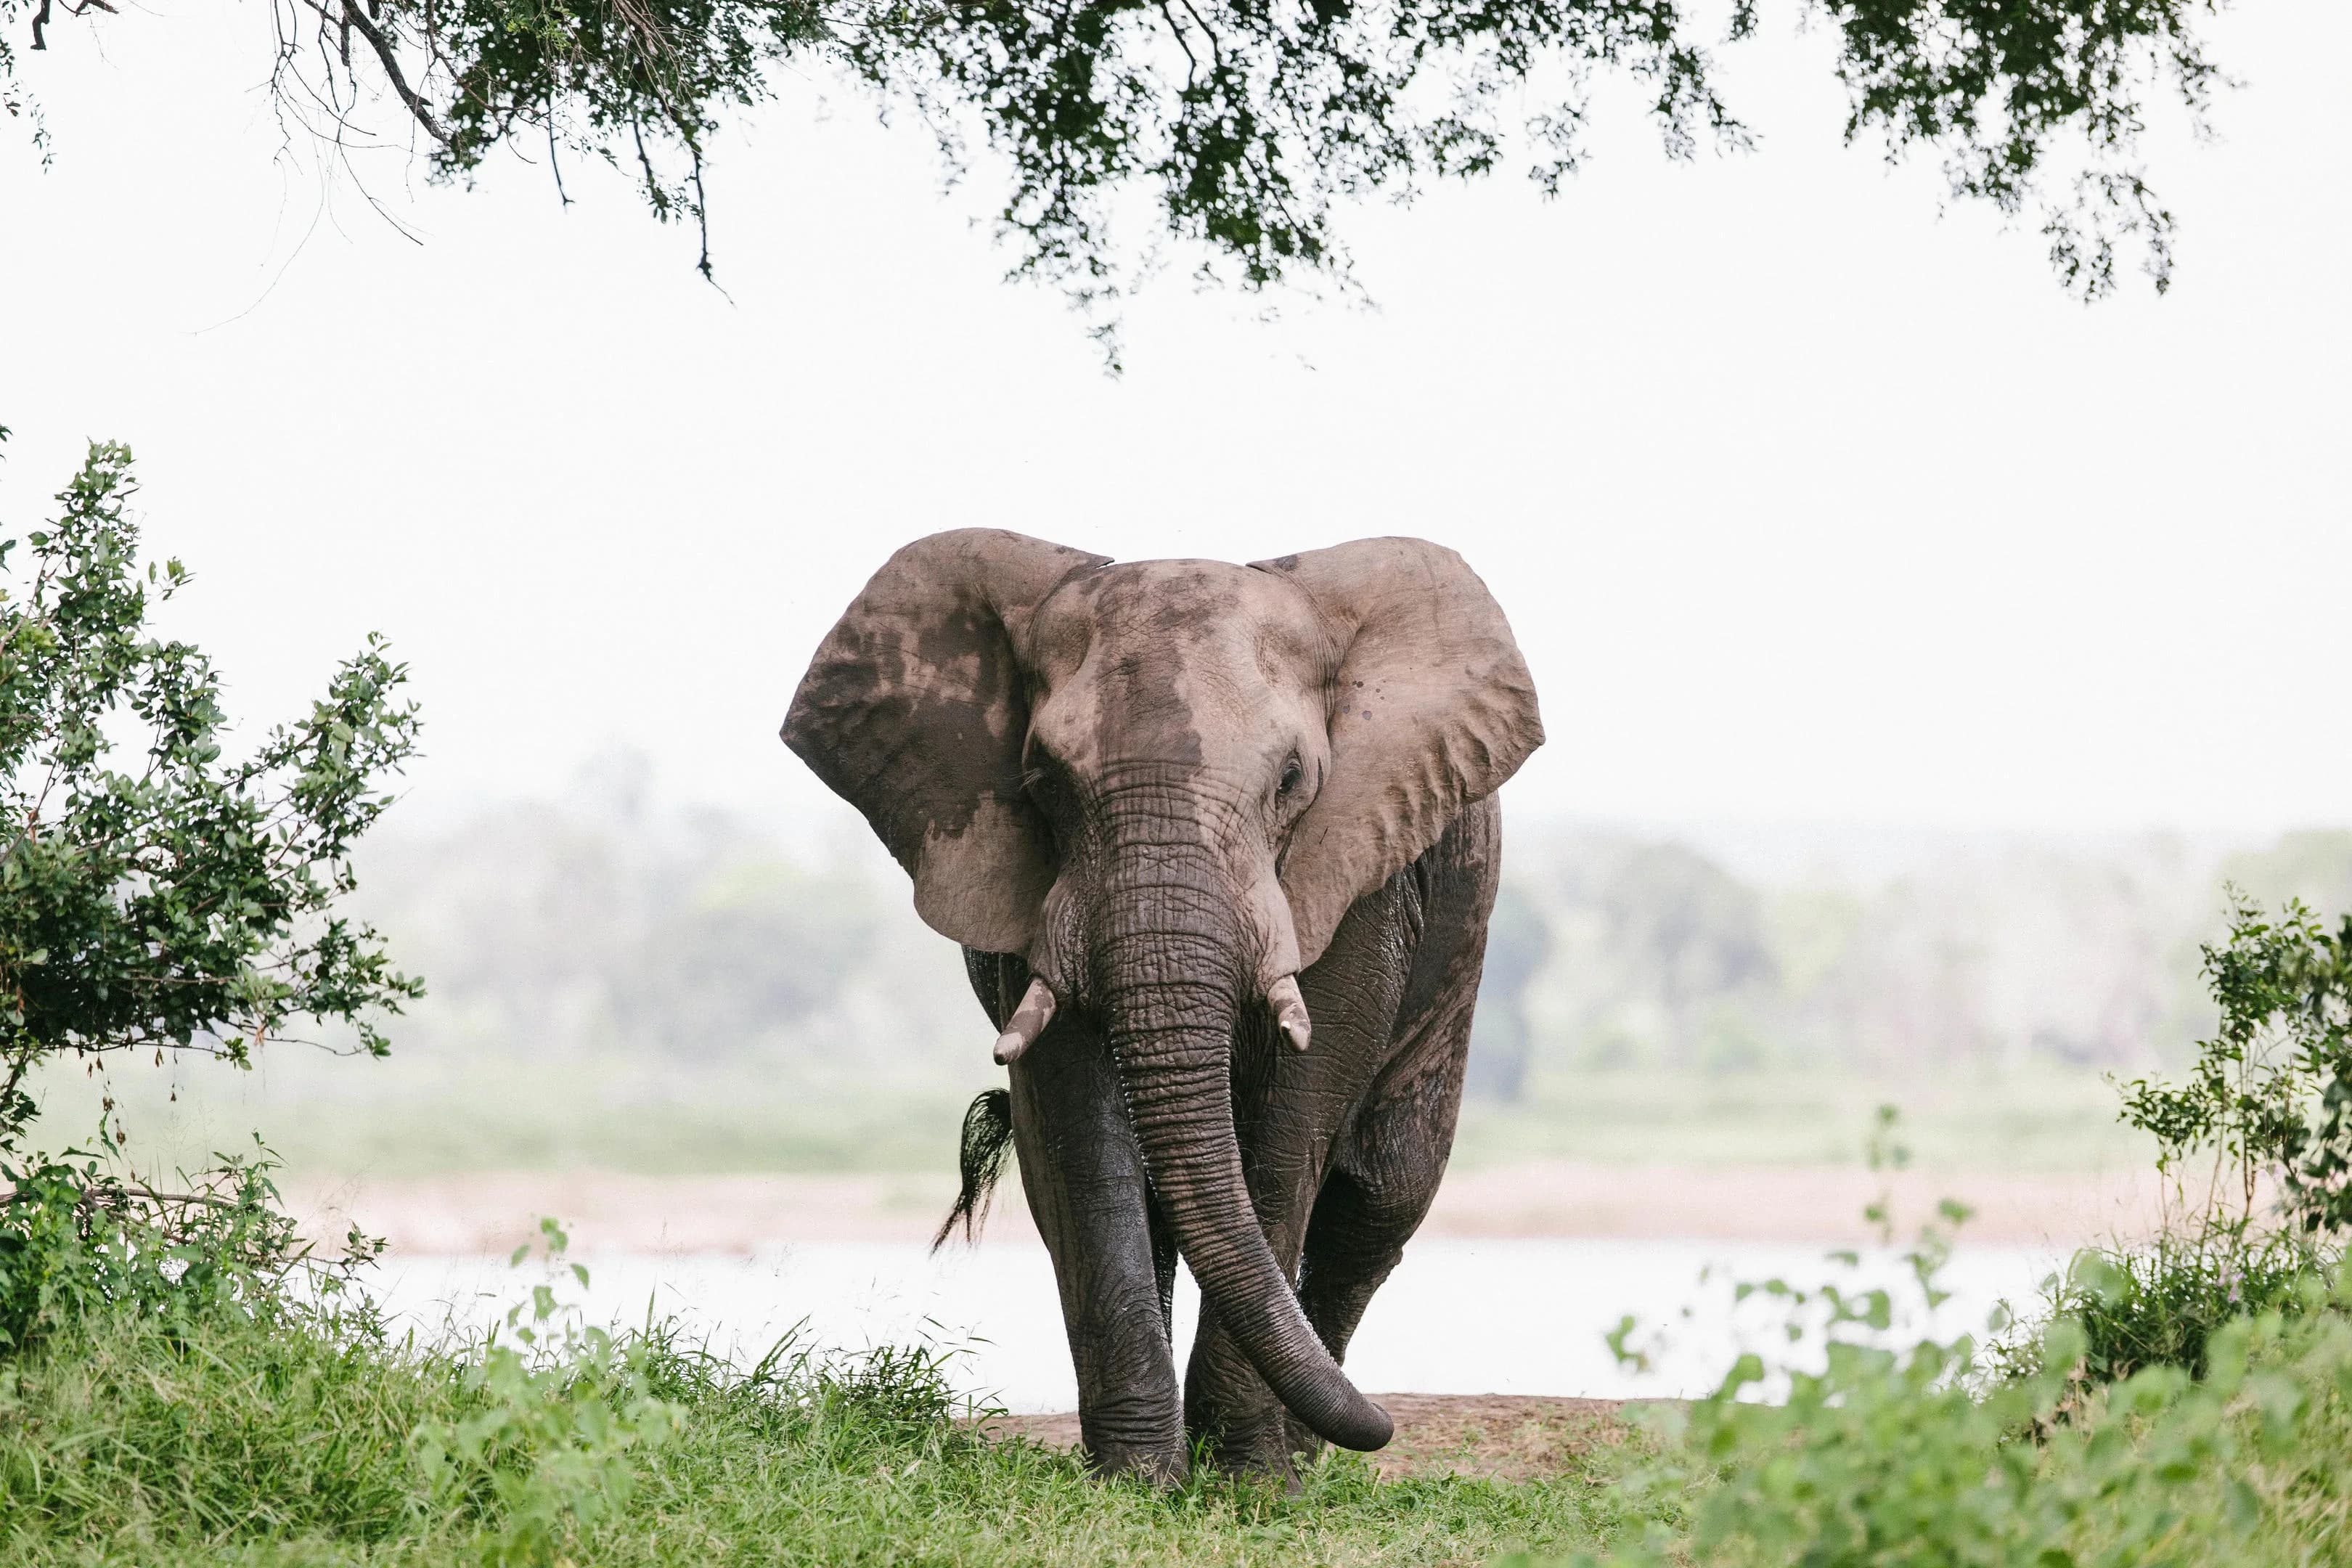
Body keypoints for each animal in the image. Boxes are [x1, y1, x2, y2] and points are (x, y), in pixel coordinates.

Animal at [781, 530, 1542, 1483]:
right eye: (1043, 781)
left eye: (1292, 778)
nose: (1386, 1425)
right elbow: (1077, 1136)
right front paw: (1138, 1481)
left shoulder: (1359, 868)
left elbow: (1292, 1130)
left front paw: (1254, 1483)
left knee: (1381, 1196)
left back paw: (1309, 1447)